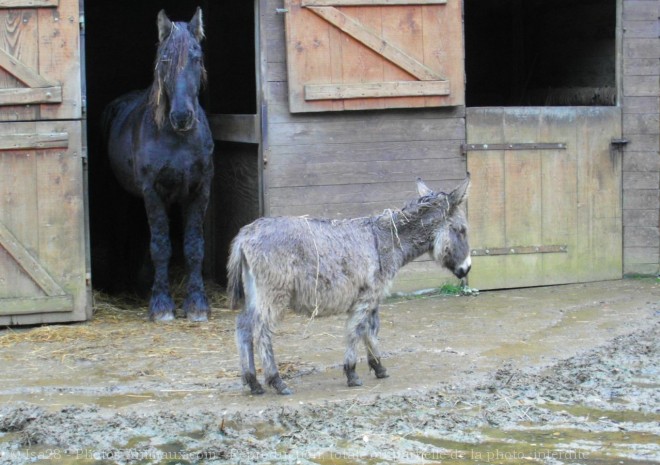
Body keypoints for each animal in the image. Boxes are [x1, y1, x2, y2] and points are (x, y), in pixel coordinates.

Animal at [102, 7, 214, 320]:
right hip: (120, 196)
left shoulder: (199, 191)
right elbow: (162, 247)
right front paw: (161, 305)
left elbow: (194, 247)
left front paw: (197, 304)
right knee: (122, 233)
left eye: (197, 58)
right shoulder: (153, 192)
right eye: (165, 60)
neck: (177, 138)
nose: (182, 117)